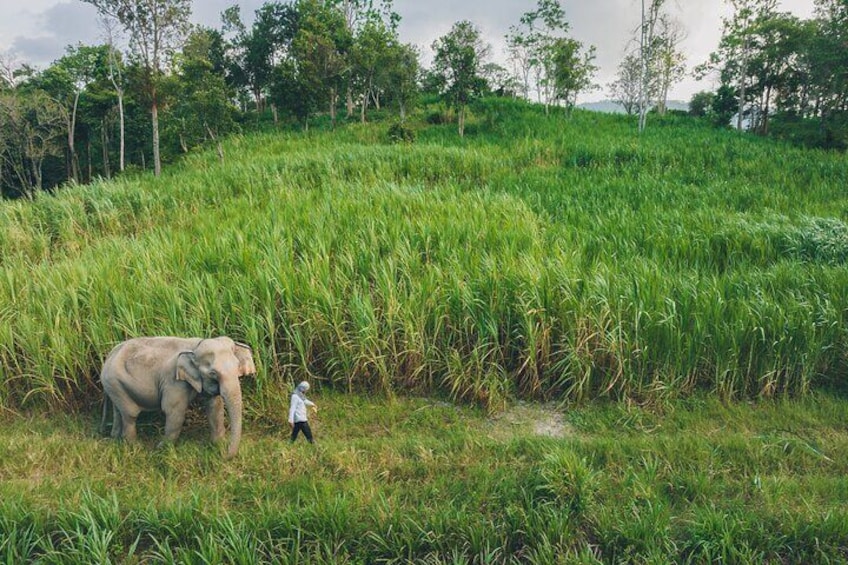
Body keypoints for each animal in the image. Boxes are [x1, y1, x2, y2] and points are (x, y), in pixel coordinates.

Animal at [100, 334, 255, 458]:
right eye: (213, 373)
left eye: (237, 366)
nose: (225, 456)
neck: (195, 347)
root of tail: (109, 355)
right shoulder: (173, 381)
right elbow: (175, 412)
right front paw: (161, 450)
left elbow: (214, 407)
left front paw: (217, 445)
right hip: (114, 382)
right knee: (130, 414)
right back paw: (134, 447)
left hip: (114, 386)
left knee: (119, 411)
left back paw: (115, 439)